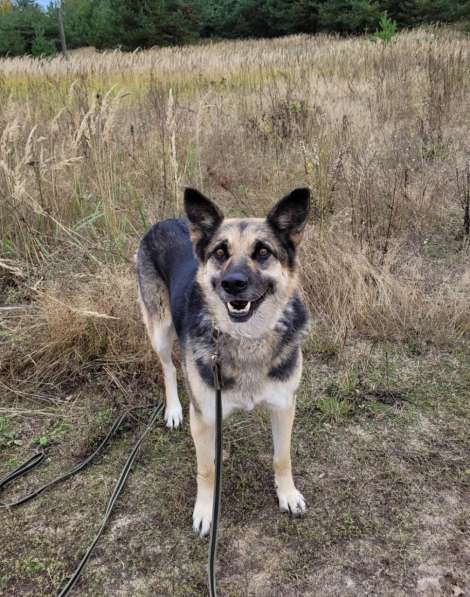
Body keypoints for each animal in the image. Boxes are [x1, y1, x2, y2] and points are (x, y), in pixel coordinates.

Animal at [136, 186, 310, 536]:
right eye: (220, 252)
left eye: (263, 252)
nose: (233, 283)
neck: (247, 340)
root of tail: (163, 221)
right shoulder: (203, 417)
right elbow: (205, 469)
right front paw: (206, 511)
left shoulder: (284, 405)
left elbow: (282, 457)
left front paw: (287, 494)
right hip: (160, 330)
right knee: (169, 367)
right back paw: (174, 409)